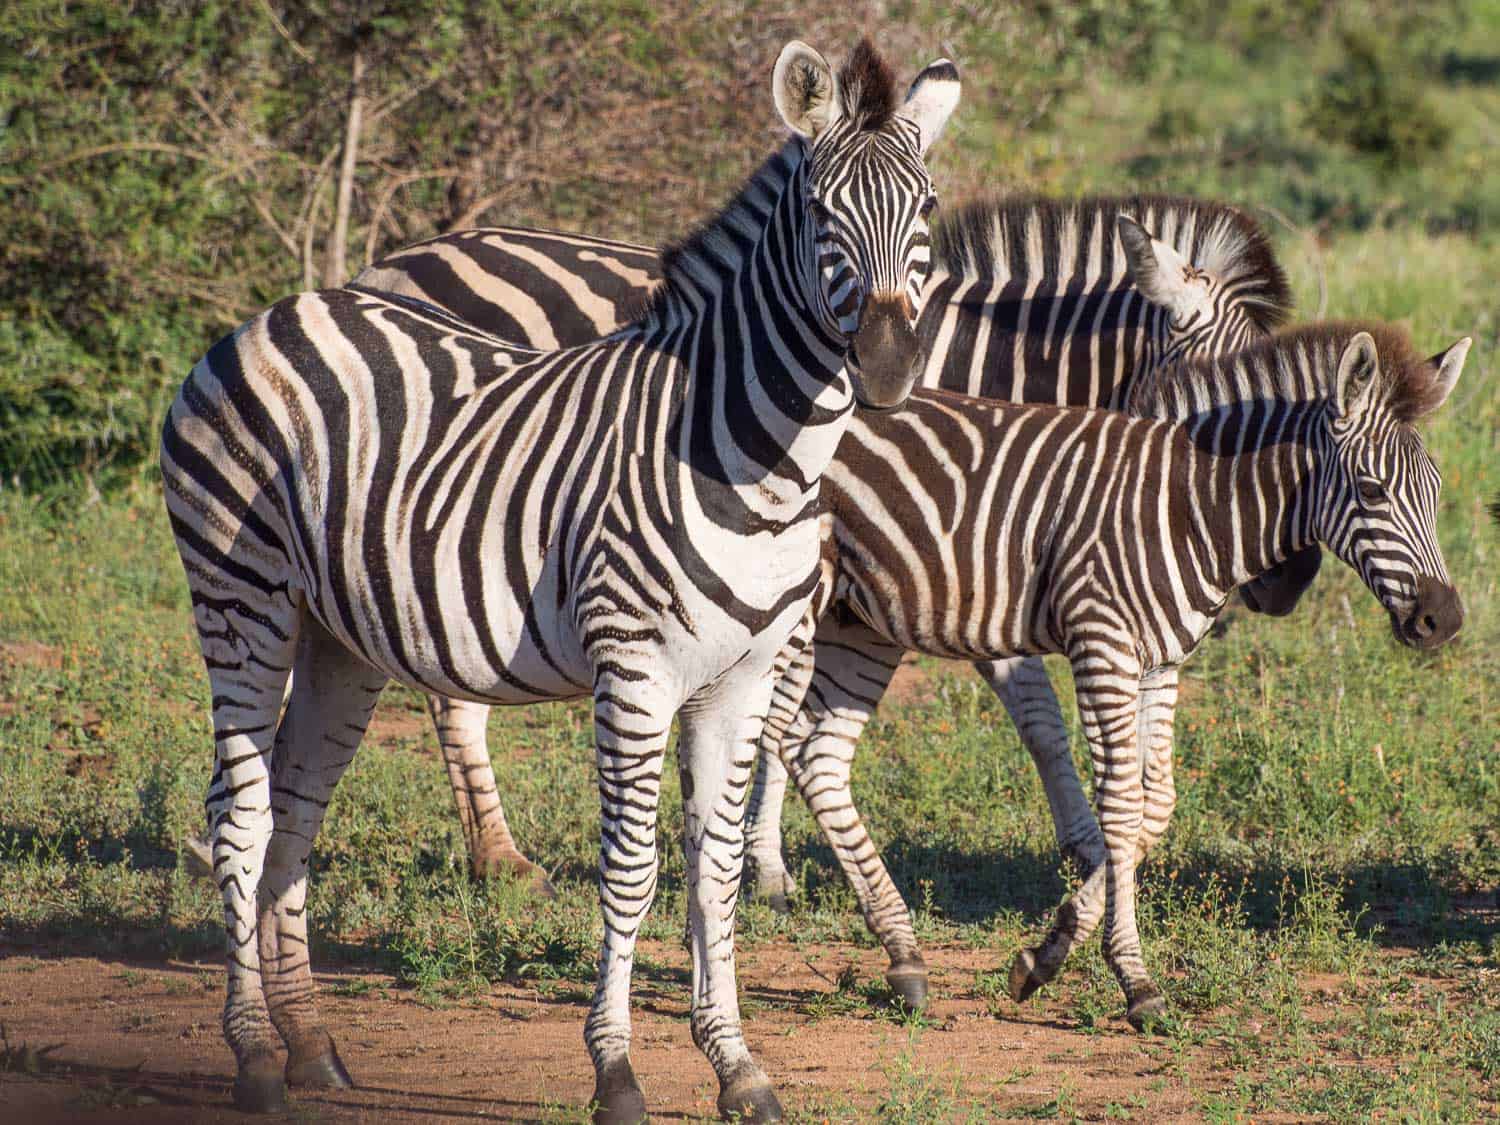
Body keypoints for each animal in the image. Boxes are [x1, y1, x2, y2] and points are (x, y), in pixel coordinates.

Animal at [161, 39, 960, 1122]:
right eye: (820, 211)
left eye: (927, 208)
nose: (885, 367)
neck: (753, 455)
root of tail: (274, 313)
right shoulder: (635, 670)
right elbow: (630, 871)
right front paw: (616, 1072)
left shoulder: (743, 678)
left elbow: (714, 874)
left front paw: (738, 1066)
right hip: (241, 597)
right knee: (239, 821)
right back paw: (252, 1056)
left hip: (338, 637)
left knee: (294, 814)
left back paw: (313, 1048)